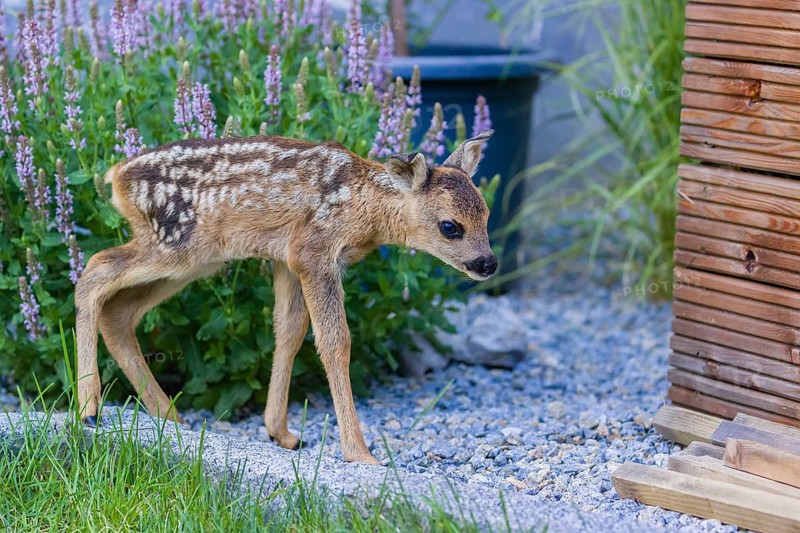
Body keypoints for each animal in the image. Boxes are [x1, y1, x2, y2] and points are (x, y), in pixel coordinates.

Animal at [74, 129, 497, 464]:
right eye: (449, 226)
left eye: (487, 215)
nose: (488, 263)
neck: (365, 208)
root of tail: (114, 175)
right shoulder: (314, 250)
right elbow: (334, 341)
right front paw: (360, 454)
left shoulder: (287, 257)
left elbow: (289, 332)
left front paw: (281, 432)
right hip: (176, 243)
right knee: (93, 269)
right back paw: (89, 407)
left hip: (195, 261)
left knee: (118, 312)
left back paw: (171, 418)